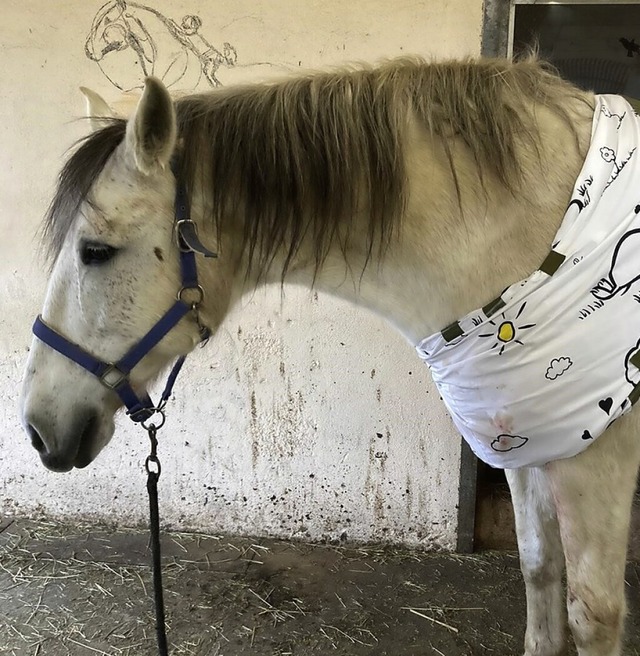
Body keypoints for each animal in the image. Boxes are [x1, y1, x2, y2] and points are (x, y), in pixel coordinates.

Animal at [18, 59, 640, 652]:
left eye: (95, 251)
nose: (37, 428)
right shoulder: (530, 440)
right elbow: (539, 575)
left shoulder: (596, 455)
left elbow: (593, 613)